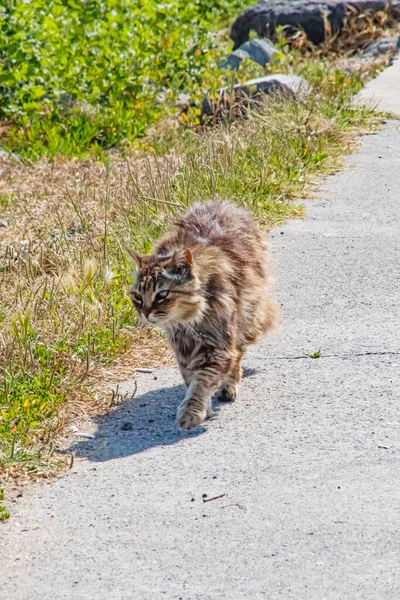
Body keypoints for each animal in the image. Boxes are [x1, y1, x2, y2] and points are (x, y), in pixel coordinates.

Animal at [130, 203, 276, 432]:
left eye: (162, 295)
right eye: (137, 296)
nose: (145, 313)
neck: (189, 320)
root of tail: (222, 203)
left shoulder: (217, 346)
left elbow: (202, 382)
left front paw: (192, 412)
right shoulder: (183, 348)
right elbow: (191, 379)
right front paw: (203, 409)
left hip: (244, 317)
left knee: (238, 354)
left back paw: (229, 386)